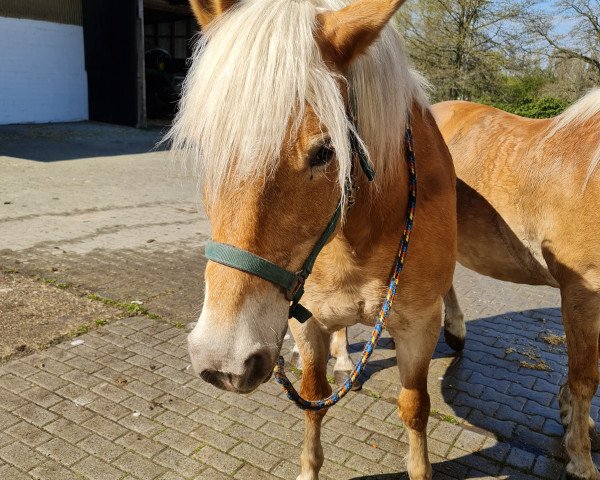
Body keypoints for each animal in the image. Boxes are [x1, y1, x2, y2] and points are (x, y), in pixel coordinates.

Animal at [171, 0, 458, 480]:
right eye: (202, 146)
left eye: (325, 152)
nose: (223, 359)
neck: (358, 236)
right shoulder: (305, 323)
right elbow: (312, 400)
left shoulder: (419, 327)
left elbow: (415, 407)